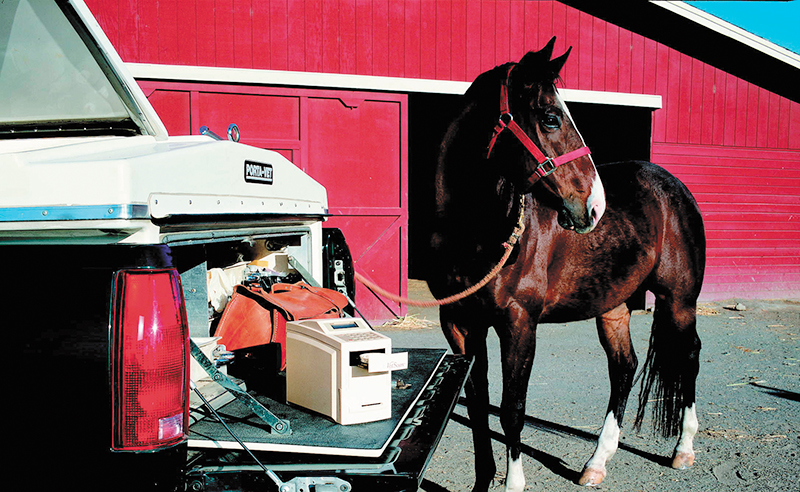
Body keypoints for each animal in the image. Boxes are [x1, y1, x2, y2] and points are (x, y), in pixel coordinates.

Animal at [428, 38, 704, 492]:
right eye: (551, 117)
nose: (594, 206)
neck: (479, 233)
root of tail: (674, 188)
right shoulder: (460, 324)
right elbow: (477, 404)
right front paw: (484, 480)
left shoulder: (518, 323)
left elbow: (512, 409)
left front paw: (513, 483)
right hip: (613, 307)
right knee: (624, 368)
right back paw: (597, 462)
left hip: (679, 300)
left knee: (689, 356)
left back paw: (683, 449)